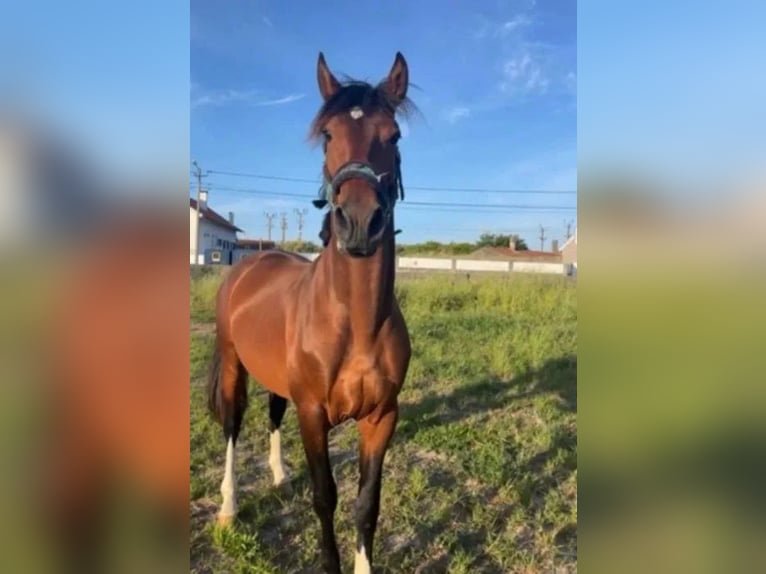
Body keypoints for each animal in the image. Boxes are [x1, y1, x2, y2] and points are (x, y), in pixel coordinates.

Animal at [207, 52, 415, 573]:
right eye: (327, 135)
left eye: (394, 136)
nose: (359, 223)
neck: (357, 322)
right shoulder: (314, 414)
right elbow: (325, 498)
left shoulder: (382, 416)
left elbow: (367, 504)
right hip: (233, 365)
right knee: (232, 427)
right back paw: (227, 507)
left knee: (272, 410)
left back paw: (280, 474)